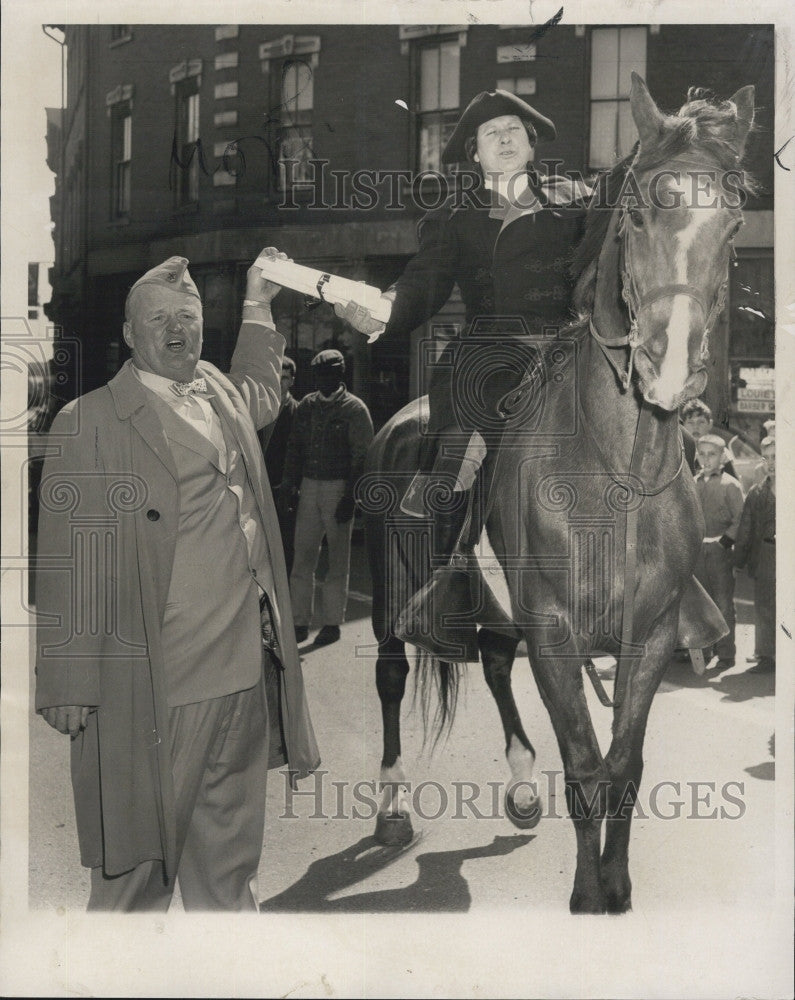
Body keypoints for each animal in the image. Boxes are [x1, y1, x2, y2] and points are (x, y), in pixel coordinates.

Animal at [358, 74, 756, 912]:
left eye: (734, 217)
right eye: (635, 211)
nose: (670, 369)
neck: (617, 472)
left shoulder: (648, 636)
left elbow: (623, 770)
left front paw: (617, 885)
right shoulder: (553, 632)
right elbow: (581, 769)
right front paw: (585, 895)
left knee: (492, 661)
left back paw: (515, 784)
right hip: (389, 591)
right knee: (391, 674)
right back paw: (392, 803)